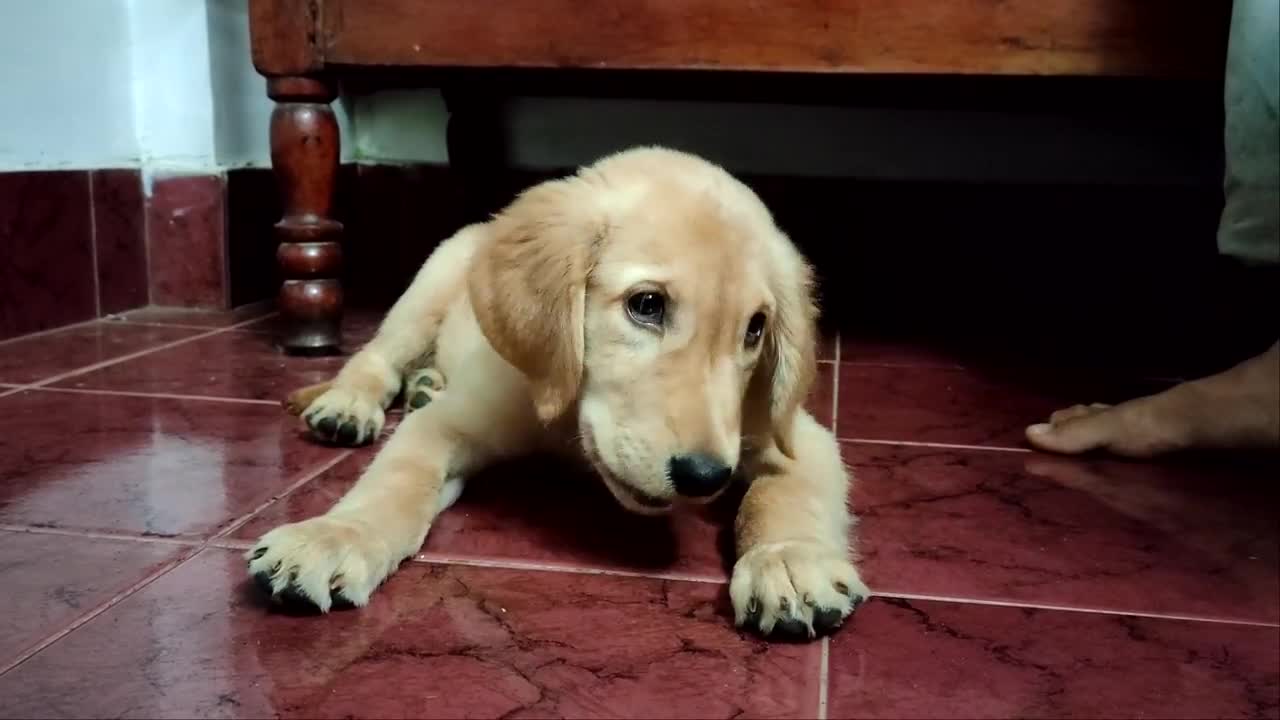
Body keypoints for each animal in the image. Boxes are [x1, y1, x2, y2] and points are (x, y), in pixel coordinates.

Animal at [247, 146, 870, 638]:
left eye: (755, 329)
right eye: (647, 304)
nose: (704, 477)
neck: (574, 428)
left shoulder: (792, 436)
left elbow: (784, 496)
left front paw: (788, 560)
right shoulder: (451, 423)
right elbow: (395, 483)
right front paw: (335, 536)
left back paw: (425, 383)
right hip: (426, 288)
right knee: (375, 355)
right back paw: (348, 405)